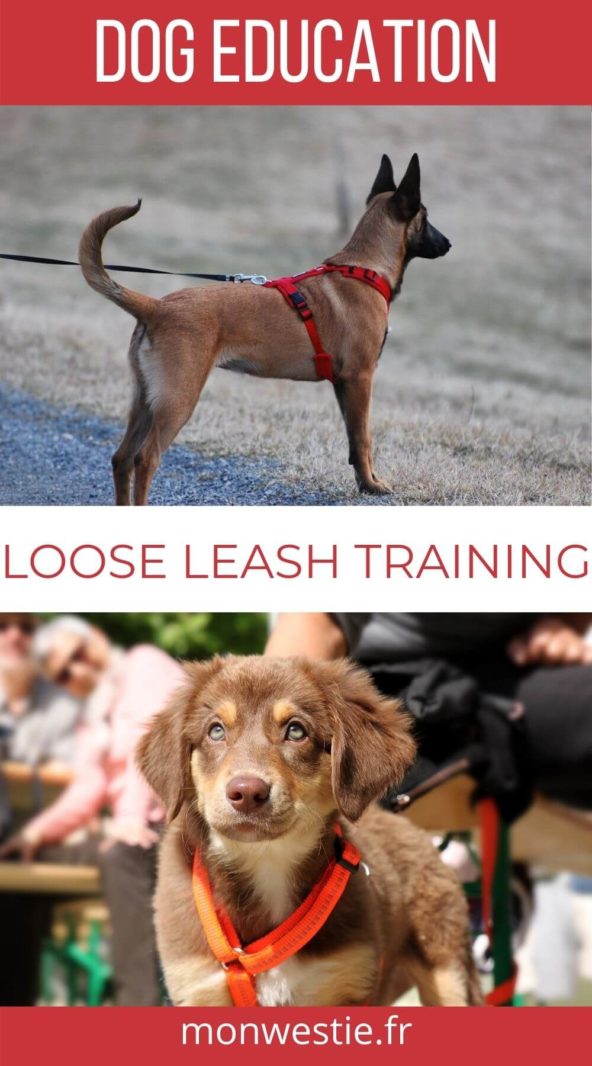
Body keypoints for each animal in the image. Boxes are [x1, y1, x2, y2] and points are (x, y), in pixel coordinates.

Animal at [77, 154, 450, 503]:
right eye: (426, 216)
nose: (448, 244)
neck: (364, 268)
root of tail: (156, 306)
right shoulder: (361, 378)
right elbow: (364, 438)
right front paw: (373, 485)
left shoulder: (344, 385)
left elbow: (352, 442)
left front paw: (364, 482)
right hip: (177, 399)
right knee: (145, 459)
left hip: (144, 399)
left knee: (121, 458)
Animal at [138, 652, 482, 1002]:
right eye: (216, 731)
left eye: (296, 731)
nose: (247, 793)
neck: (267, 860)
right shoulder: (198, 984)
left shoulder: (351, 978)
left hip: (446, 969)